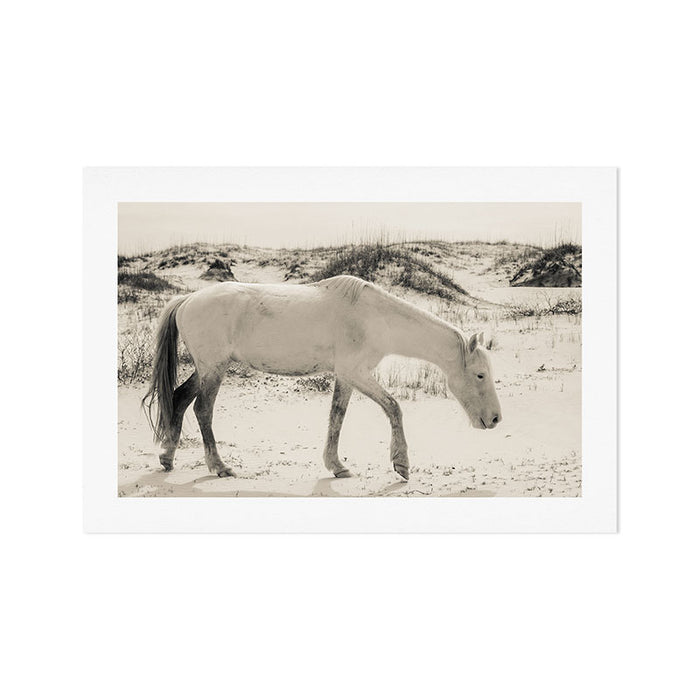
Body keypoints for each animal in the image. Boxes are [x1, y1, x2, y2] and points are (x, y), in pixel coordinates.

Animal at [143, 275, 502, 480]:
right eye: (480, 375)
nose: (495, 419)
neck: (375, 317)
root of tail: (187, 299)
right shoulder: (356, 373)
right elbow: (394, 407)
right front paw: (401, 464)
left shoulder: (346, 376)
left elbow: (336, 418)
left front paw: (336, 465)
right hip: (214, 368)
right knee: (202, 410)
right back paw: (219, 467)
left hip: (206, 368)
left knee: (178, 398)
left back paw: (167, 458)